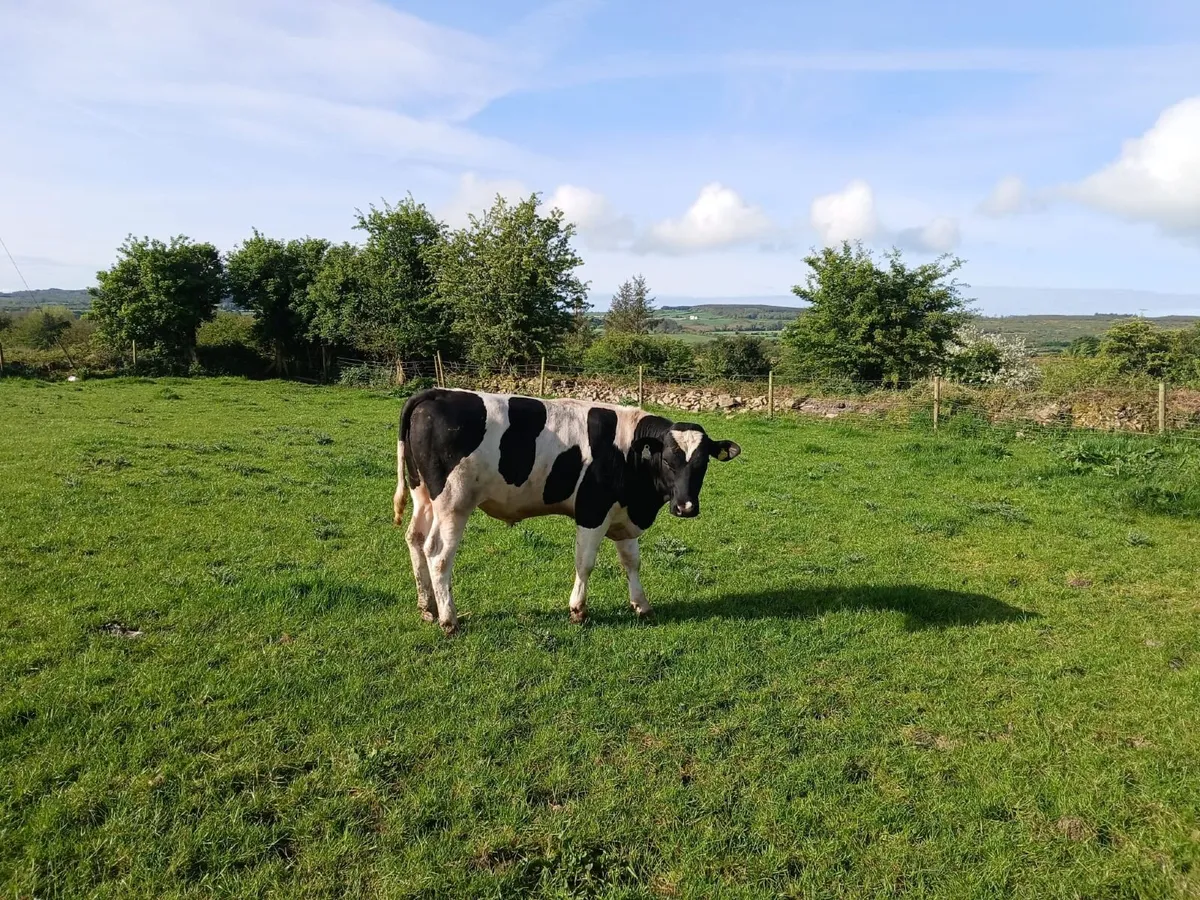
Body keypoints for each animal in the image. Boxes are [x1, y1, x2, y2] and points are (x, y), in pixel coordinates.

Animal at [393, 387, 742, 634]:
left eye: (702, 463)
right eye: (668, 460)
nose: (686, 507)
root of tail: (436, 392)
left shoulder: (622, 514)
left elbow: (632, 562)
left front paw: (642, 605)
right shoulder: (592, 511)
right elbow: (585, 563)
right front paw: (578, 610)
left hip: (422, 494)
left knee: (415, 539)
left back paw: (427, 607)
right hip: (453, 502)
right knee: (438, 553)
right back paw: (449, 620)